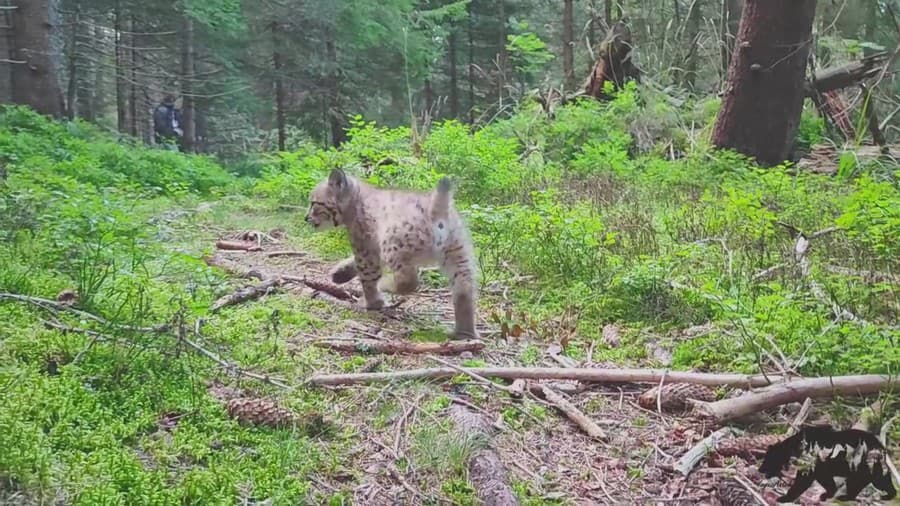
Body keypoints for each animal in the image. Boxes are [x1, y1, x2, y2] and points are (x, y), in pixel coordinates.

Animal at [304, 170, 478, 340]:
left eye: (314, 203)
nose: (306, 218)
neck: (356, 196)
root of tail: (437, 209)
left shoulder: (365, 246)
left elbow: (367, 276)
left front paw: (372, 303)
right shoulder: (373, 247)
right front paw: (340, 273)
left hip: (393, 245)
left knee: (409, 281)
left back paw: (385, 285)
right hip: (458, 255)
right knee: (464, 290)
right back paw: (464, 333)